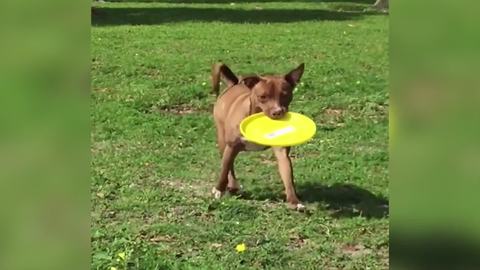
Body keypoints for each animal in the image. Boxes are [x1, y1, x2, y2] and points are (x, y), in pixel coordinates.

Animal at [209, 61, 304, 211]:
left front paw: (294, 201)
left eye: (285, 95)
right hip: (222, 139)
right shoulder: (232, 146)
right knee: (228, 165)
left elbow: (288, 176)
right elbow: (224, 169)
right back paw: (232, 185)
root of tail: (233, 83)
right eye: (263, 97)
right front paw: (219, 189)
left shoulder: (282, 151)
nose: (278, 112)